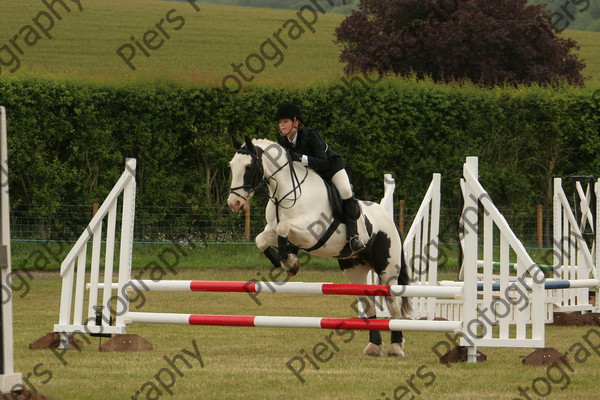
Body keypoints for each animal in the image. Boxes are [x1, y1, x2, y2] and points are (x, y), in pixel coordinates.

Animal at [227, 137, 410, 356]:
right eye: (231, 166)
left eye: (249, 167)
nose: (234, 203)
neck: (285, 192)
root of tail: (389, 219)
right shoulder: (272, 230)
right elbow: (262, 239)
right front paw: (288, 263)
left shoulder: (310, 233)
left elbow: (283, 227)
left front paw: (289, 262)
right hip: (354, 267)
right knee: (368, 302)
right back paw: (374, 346)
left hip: (387, 267)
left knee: (394, 303)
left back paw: (396, 346)